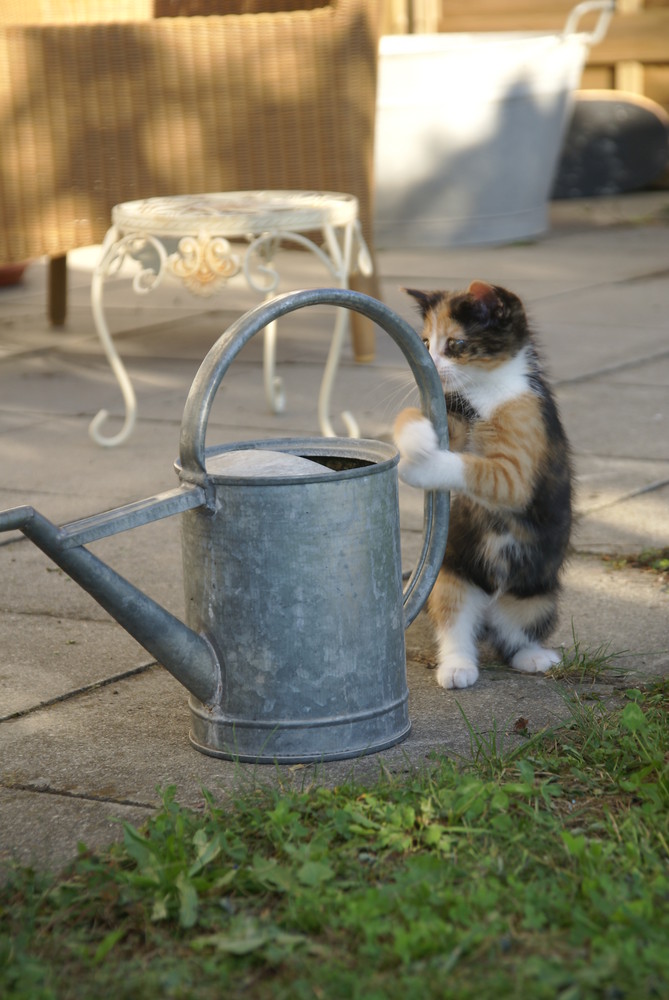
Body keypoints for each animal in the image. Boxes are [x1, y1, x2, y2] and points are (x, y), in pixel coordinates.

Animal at [394, 280, 572, 688]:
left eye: (455, 344)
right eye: (424, 342)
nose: (431, 364)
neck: (484, 392)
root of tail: (490, 603)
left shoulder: (518, 468)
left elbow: (478, 470)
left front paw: (422, 468)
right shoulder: (448, 410)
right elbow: (411, 414)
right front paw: (414, 437)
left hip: (536, 595)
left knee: (517, 633)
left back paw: (533, 656)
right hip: (452, 576)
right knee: (456, 623)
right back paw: (457, 667)